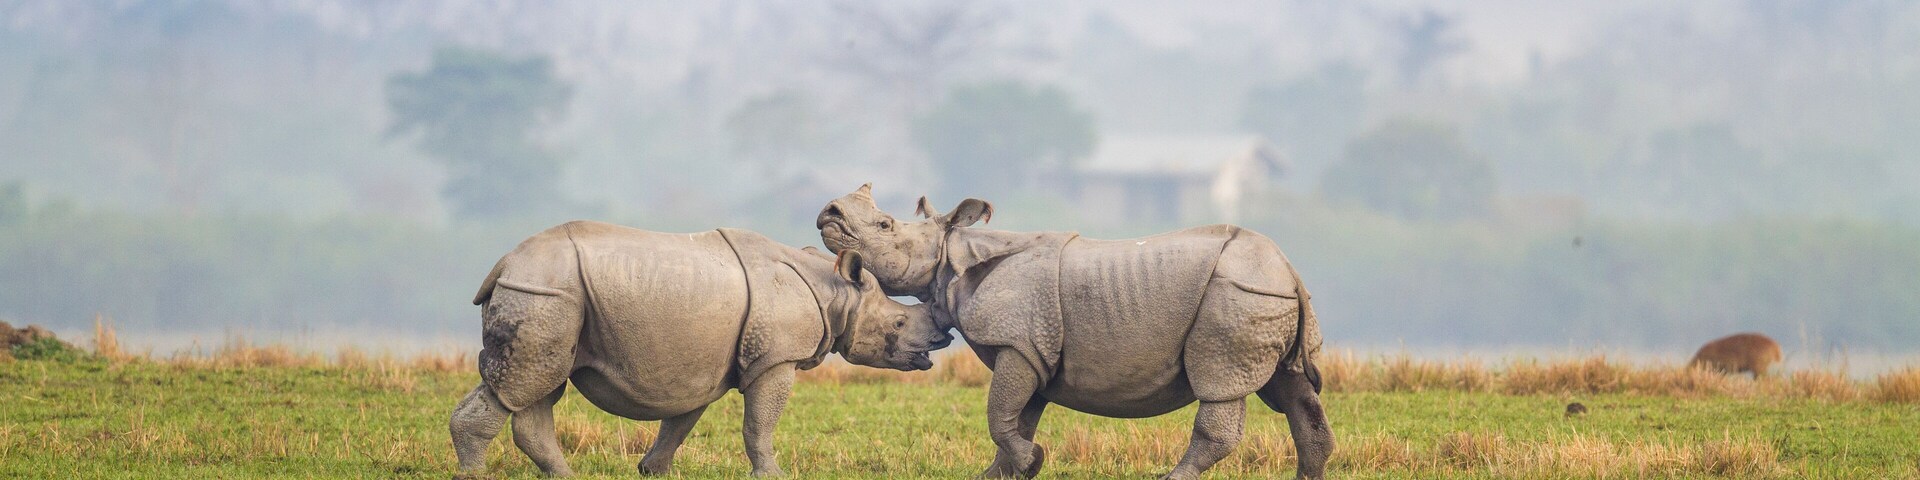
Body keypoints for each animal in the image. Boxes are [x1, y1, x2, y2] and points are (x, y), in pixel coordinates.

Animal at [451, 220, 950, 478]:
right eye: (899, 323)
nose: (939, 341)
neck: (836, 292)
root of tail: (504, 265)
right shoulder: (775, 358)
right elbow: (759, 424)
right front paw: (772, 476)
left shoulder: (698, 365)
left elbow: (680, 421)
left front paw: (652, 471)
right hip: (544, 293)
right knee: (523, 384)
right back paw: (473, 476)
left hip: (550, 296)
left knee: (538, 387)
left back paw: (566, 479)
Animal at [816, 185, 1333, 480]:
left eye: (884, 225)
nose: (829, 214)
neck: (951, 255)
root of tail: (1288, 269)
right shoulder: (1032, 349)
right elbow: (1016, 417)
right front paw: (1001, 474)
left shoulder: (1019, 341)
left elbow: (999, 415)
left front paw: (1032, 462)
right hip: (1264, 294)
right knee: (1292, 390)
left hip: (1238, 294)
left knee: (1222, 386)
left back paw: (1172, 478)